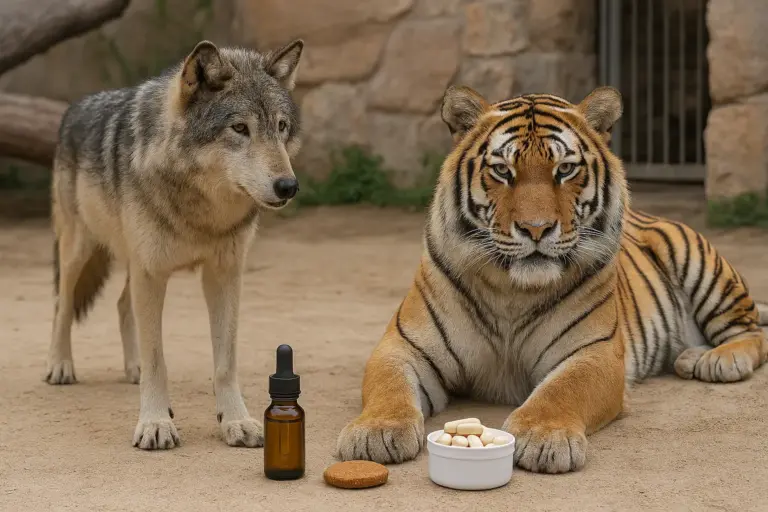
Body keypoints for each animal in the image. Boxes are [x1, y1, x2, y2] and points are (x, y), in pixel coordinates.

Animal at [47, 38, 304, 450]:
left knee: (122, 305)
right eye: (239, 128)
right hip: (78, 250)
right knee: (63, 303)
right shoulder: (151, 273)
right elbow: (158, 359)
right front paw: (155, 422)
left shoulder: (224, 274)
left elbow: (225, 361)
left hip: (131, 262)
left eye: (281, 127)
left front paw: (236, 420)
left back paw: (131, 368)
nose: (288, 186)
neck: (202, 213)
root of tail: (76, 105)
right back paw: (60, 365)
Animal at [335, 85, 768, 473]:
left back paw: (718, 360)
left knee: (751, 333)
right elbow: (389, 388)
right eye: (502, 171)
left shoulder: (594, 353)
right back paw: (691, 356)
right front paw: (376, 433)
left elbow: (561, 391)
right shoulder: (403, 346)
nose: (536, 228)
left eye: (565, 169)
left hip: (699, 264)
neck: (510, 290)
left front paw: (544, 438)